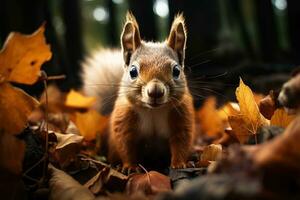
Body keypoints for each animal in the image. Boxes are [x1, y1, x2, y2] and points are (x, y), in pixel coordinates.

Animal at [81, 12, 195, 173]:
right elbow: (125, 145)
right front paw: (130, 167)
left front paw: (180, 164)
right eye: (133, 71)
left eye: (176, 71)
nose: (155, 92)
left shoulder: (181, 117)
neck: (153, 111)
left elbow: (181, 142)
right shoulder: (124, 120)